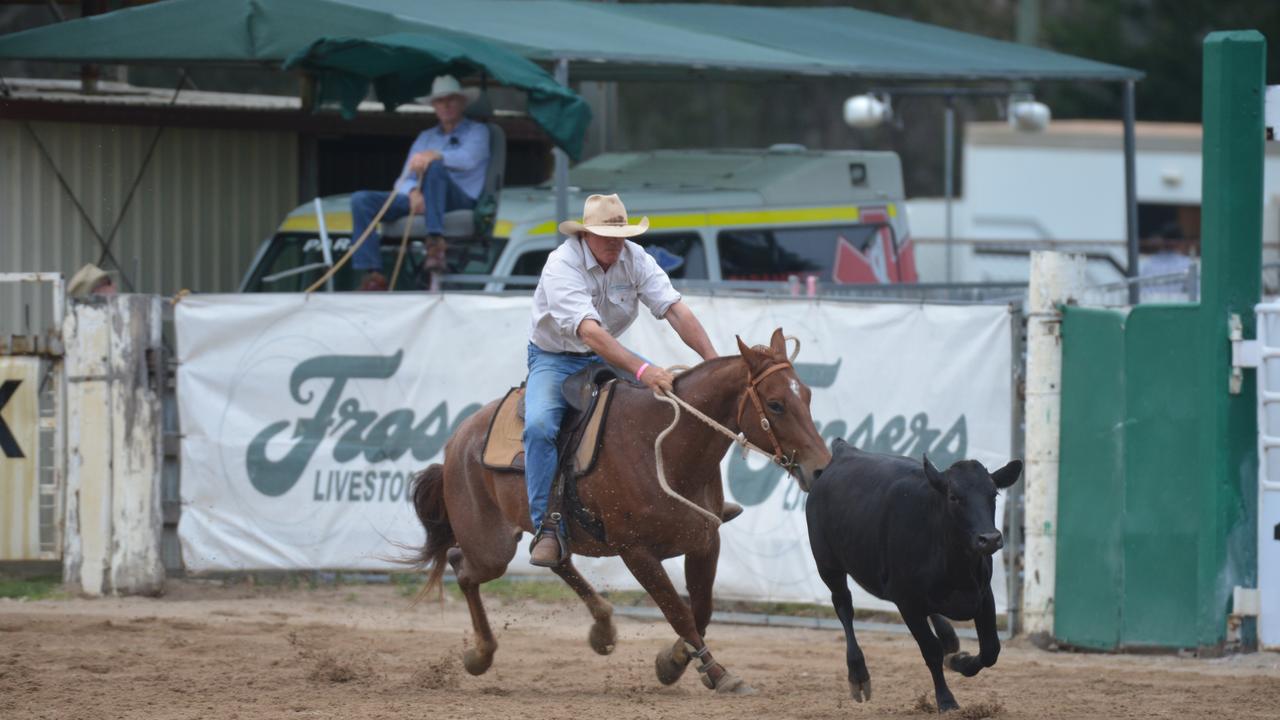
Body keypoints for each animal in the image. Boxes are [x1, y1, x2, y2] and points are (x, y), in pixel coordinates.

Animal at [409, 327, 829, 691]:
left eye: (808, 396)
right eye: (775, 404)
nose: (821, 468)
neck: (664, 447)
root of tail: (458, 439)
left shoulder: (705, 540)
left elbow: (701, 610)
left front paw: (673, 661)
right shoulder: (636, 552)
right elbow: (679, 611)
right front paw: (717, 673)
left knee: (556, 559)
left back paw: (603, 628)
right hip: (490, 547)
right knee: (462, 565)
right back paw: (480, 654)